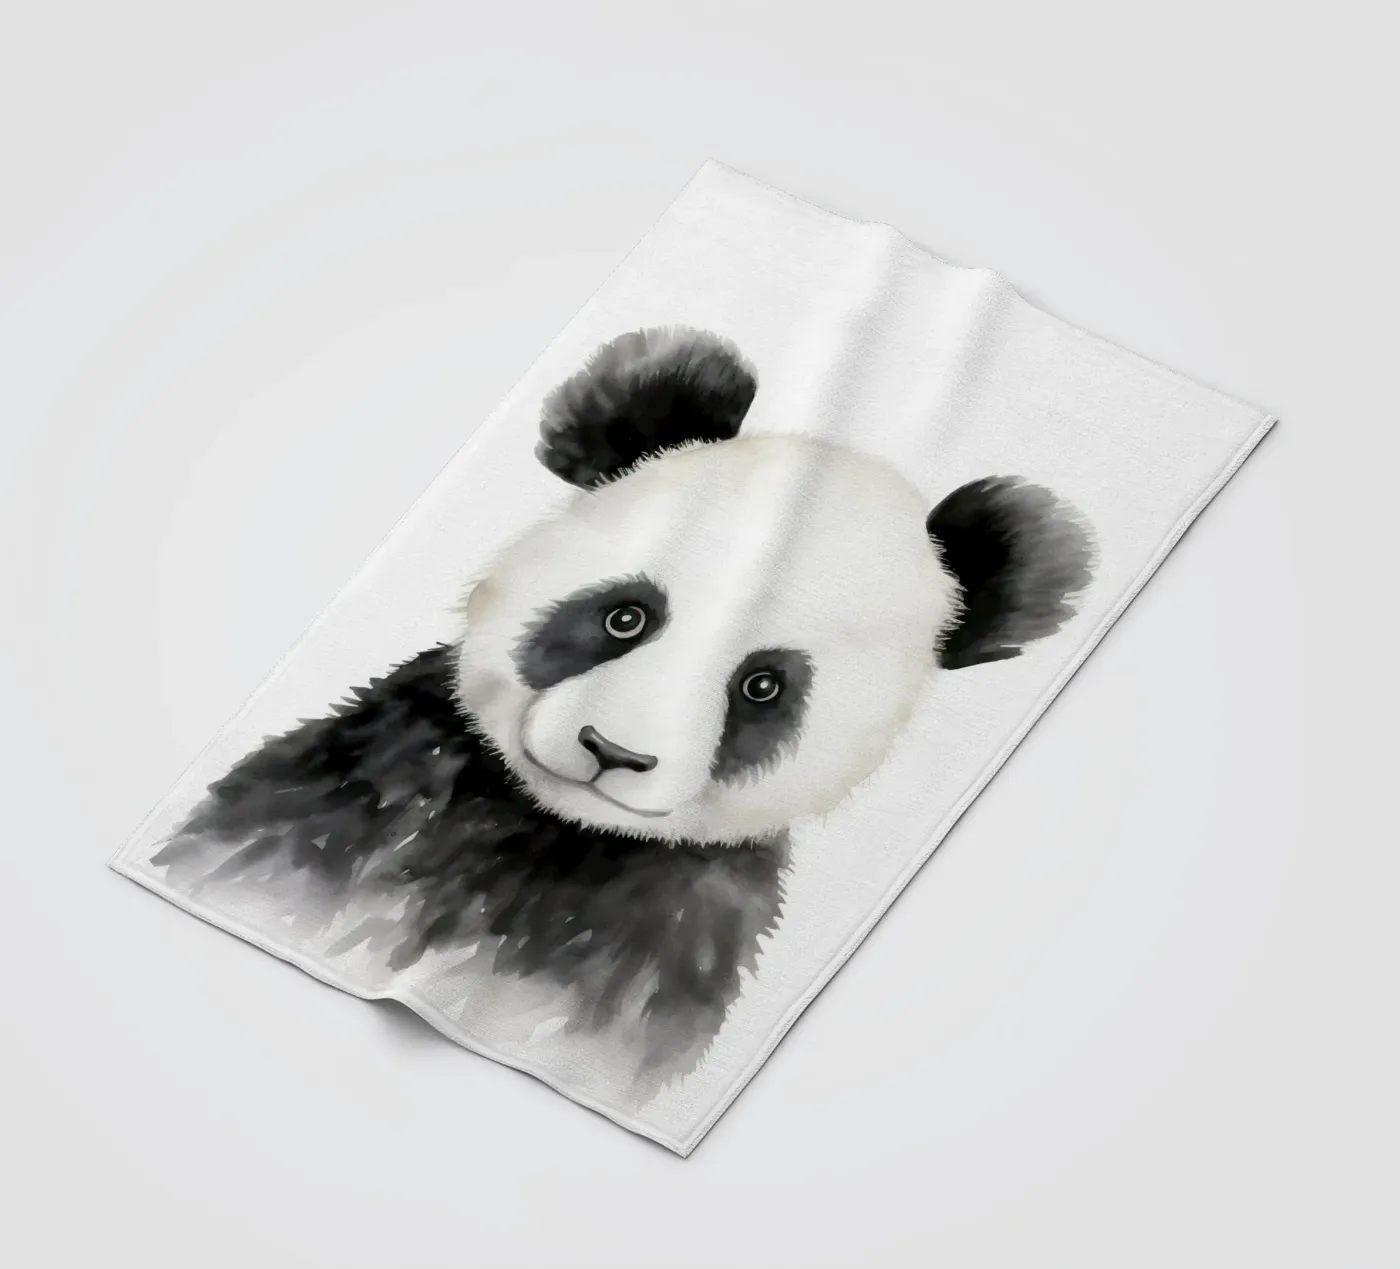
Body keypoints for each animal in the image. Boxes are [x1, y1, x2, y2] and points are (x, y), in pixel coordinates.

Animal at [155, 326, 1094, 1085]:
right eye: (625, 616)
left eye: (763, 686)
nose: (613, 751)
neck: (547, 829)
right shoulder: (365, 786)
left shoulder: (666, 939)